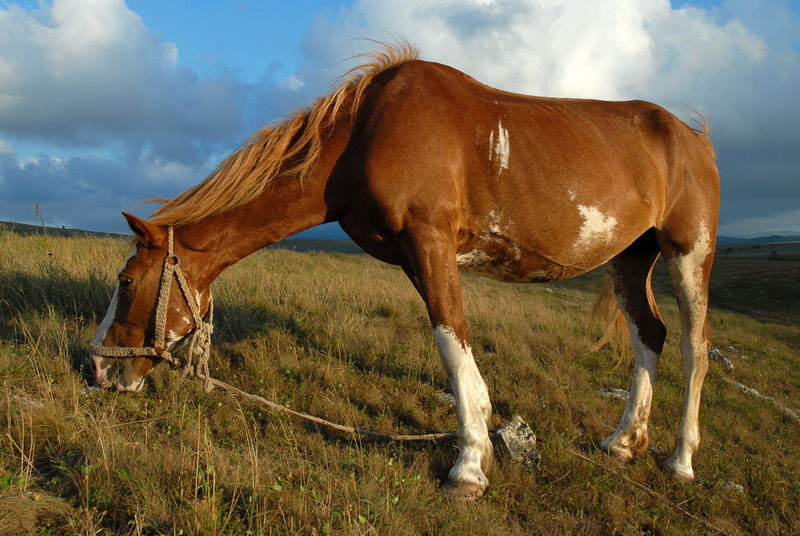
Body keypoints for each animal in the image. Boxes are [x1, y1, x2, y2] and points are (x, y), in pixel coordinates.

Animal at [89, 43, 720, 500]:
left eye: (126, 282)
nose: (98, 368)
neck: (370, 130)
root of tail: (694, 137)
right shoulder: (414, 257)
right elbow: (454, 349)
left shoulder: (430, 241)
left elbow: (451, 343)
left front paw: (468, 469)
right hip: (631, 258)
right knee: (649, 335)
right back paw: (623, 442)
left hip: (689, 252)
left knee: (695, 345)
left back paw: (681, 460)